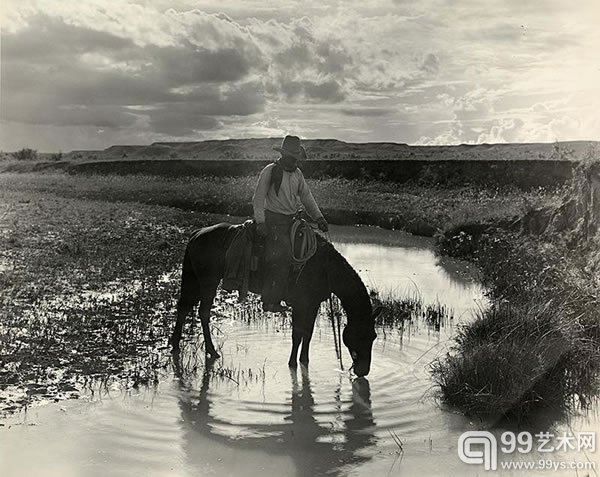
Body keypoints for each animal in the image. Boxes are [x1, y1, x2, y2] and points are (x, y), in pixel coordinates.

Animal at [171, 222, 378, 376]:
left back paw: (175, 345)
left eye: (374, 336)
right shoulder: (301, 304)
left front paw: (304, 361)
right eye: (360, 335)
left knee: (184, 308)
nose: (363, 371)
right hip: (208, 281)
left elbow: (307, 334)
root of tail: (196, 234)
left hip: (193, 280)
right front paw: (292, 363)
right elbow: (297, 335)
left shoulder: (312, 305)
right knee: (203, 312)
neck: (325, 268)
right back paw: (211, 351)